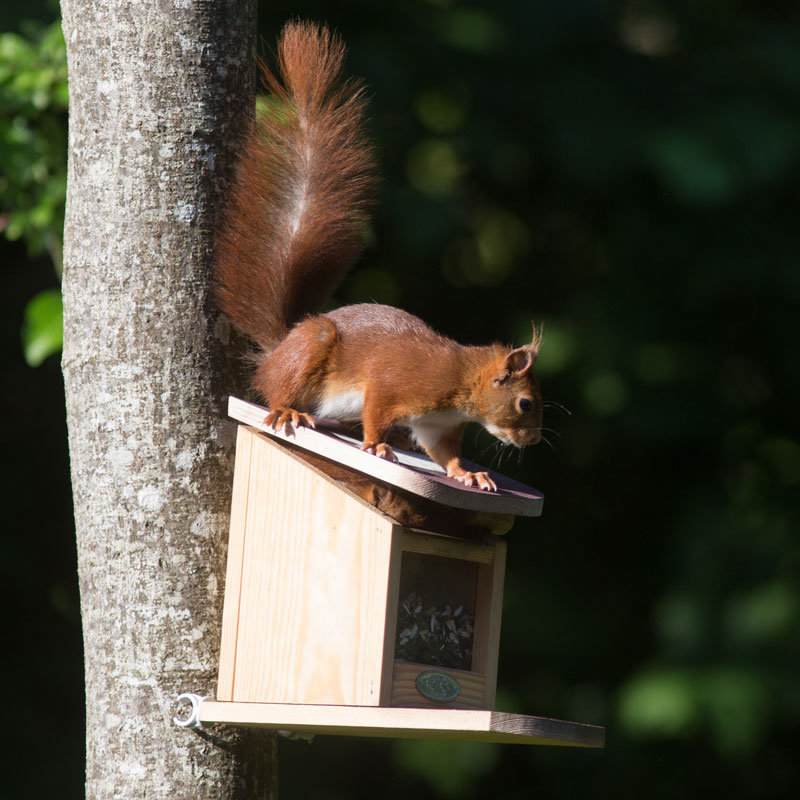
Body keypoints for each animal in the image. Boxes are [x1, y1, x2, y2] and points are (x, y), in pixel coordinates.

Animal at [214, 21, 544, 490]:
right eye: (525, 404)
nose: (532, 441)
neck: (460, 382)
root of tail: (279, 347)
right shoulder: (395, 384)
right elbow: (377, 410)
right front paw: (376, 445)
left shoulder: (437, 424)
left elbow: (444, 453)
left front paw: (469, 474)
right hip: (309, 349)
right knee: (278, 390)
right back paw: (290, 410)